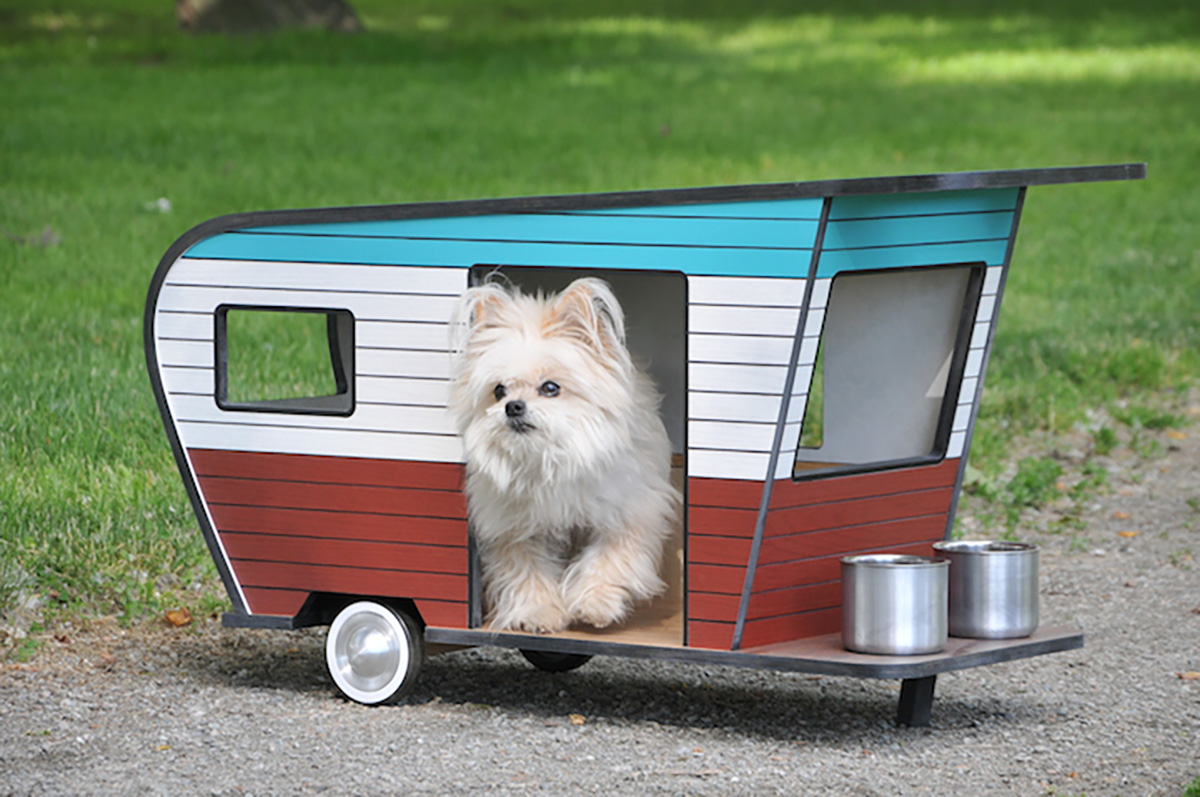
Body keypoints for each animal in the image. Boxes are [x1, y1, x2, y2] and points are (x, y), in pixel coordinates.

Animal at [448, 277, 681, 633]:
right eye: (499, 390)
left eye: (550, 388)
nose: (513, 407)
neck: (553, 456)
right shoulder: (514, 528)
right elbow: (527, 569)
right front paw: (539, 612)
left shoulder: (631, 512)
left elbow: (609, 558)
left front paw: (594, 603)